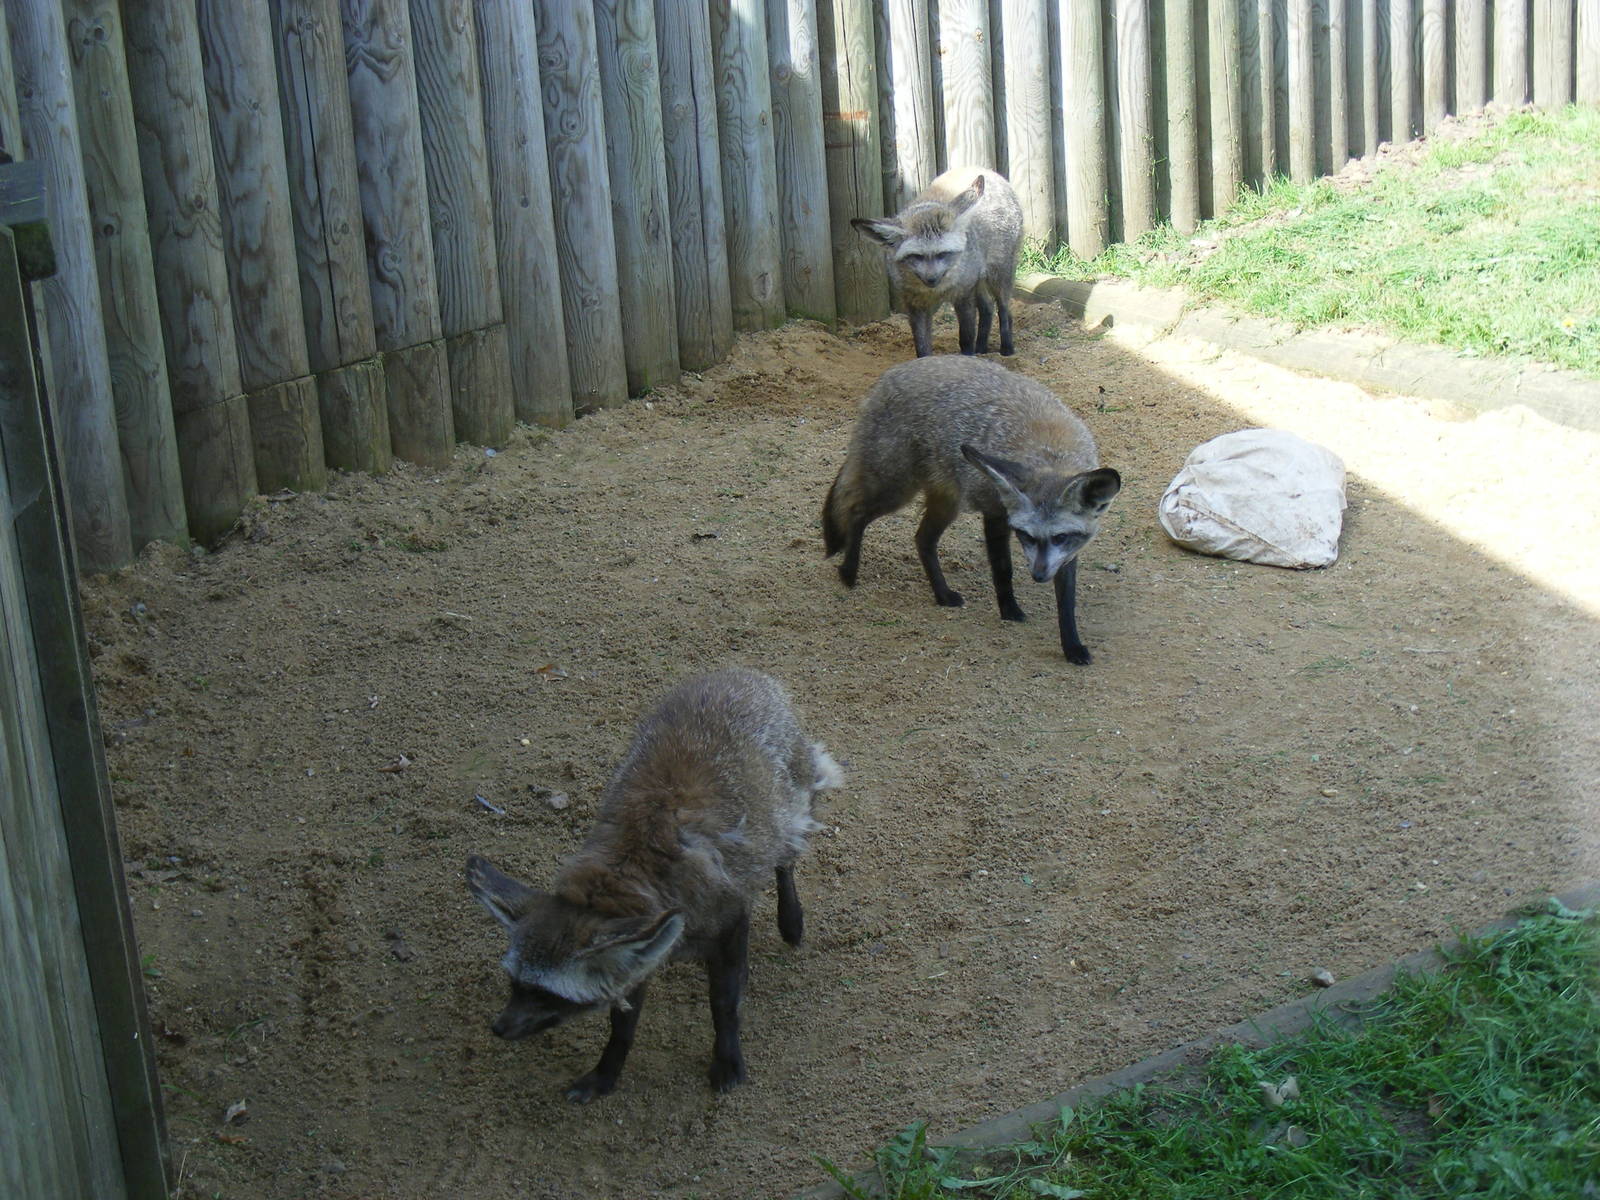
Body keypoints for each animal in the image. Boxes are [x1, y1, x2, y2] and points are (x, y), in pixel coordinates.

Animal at [464, 669, 842, 1102]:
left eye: (547, 994)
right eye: (514, 982)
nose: (498, 1028)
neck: (631, 869)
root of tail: (739, 672)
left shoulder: (728, 921)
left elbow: (724, 1004)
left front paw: (728, 1060)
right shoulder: (643, 948)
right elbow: (622, 1026)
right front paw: (605, 1074)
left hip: (792, 814)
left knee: (785, 861)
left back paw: (791, 920)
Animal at [822, 356, 1122, 664]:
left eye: (1060, 537)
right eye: (1025, 535)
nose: (1038, 576)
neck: (1050, 454)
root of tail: (897, 369)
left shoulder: (1066, 552)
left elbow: (1067, 600)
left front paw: (1071, 645)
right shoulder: (996, 512)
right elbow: (1003, 569)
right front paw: (1009, 610)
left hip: (946, 503)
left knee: (922, 540)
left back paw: (942, 594)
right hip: (896, 489)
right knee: (856, 511)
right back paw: (848, 571)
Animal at [851, 167, 1024, 358]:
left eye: (943, 254)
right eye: (916, 256)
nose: (931, 279)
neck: (937, 291)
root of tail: (985, 170)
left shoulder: (963, 295)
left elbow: (966, 338)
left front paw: (967, 358)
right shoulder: (915, 304)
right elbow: (921, 345)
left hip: (998, 276)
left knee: (1004, 310)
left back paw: (1007, 349)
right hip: (978, 282)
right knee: (987, 308)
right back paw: (981, 348)